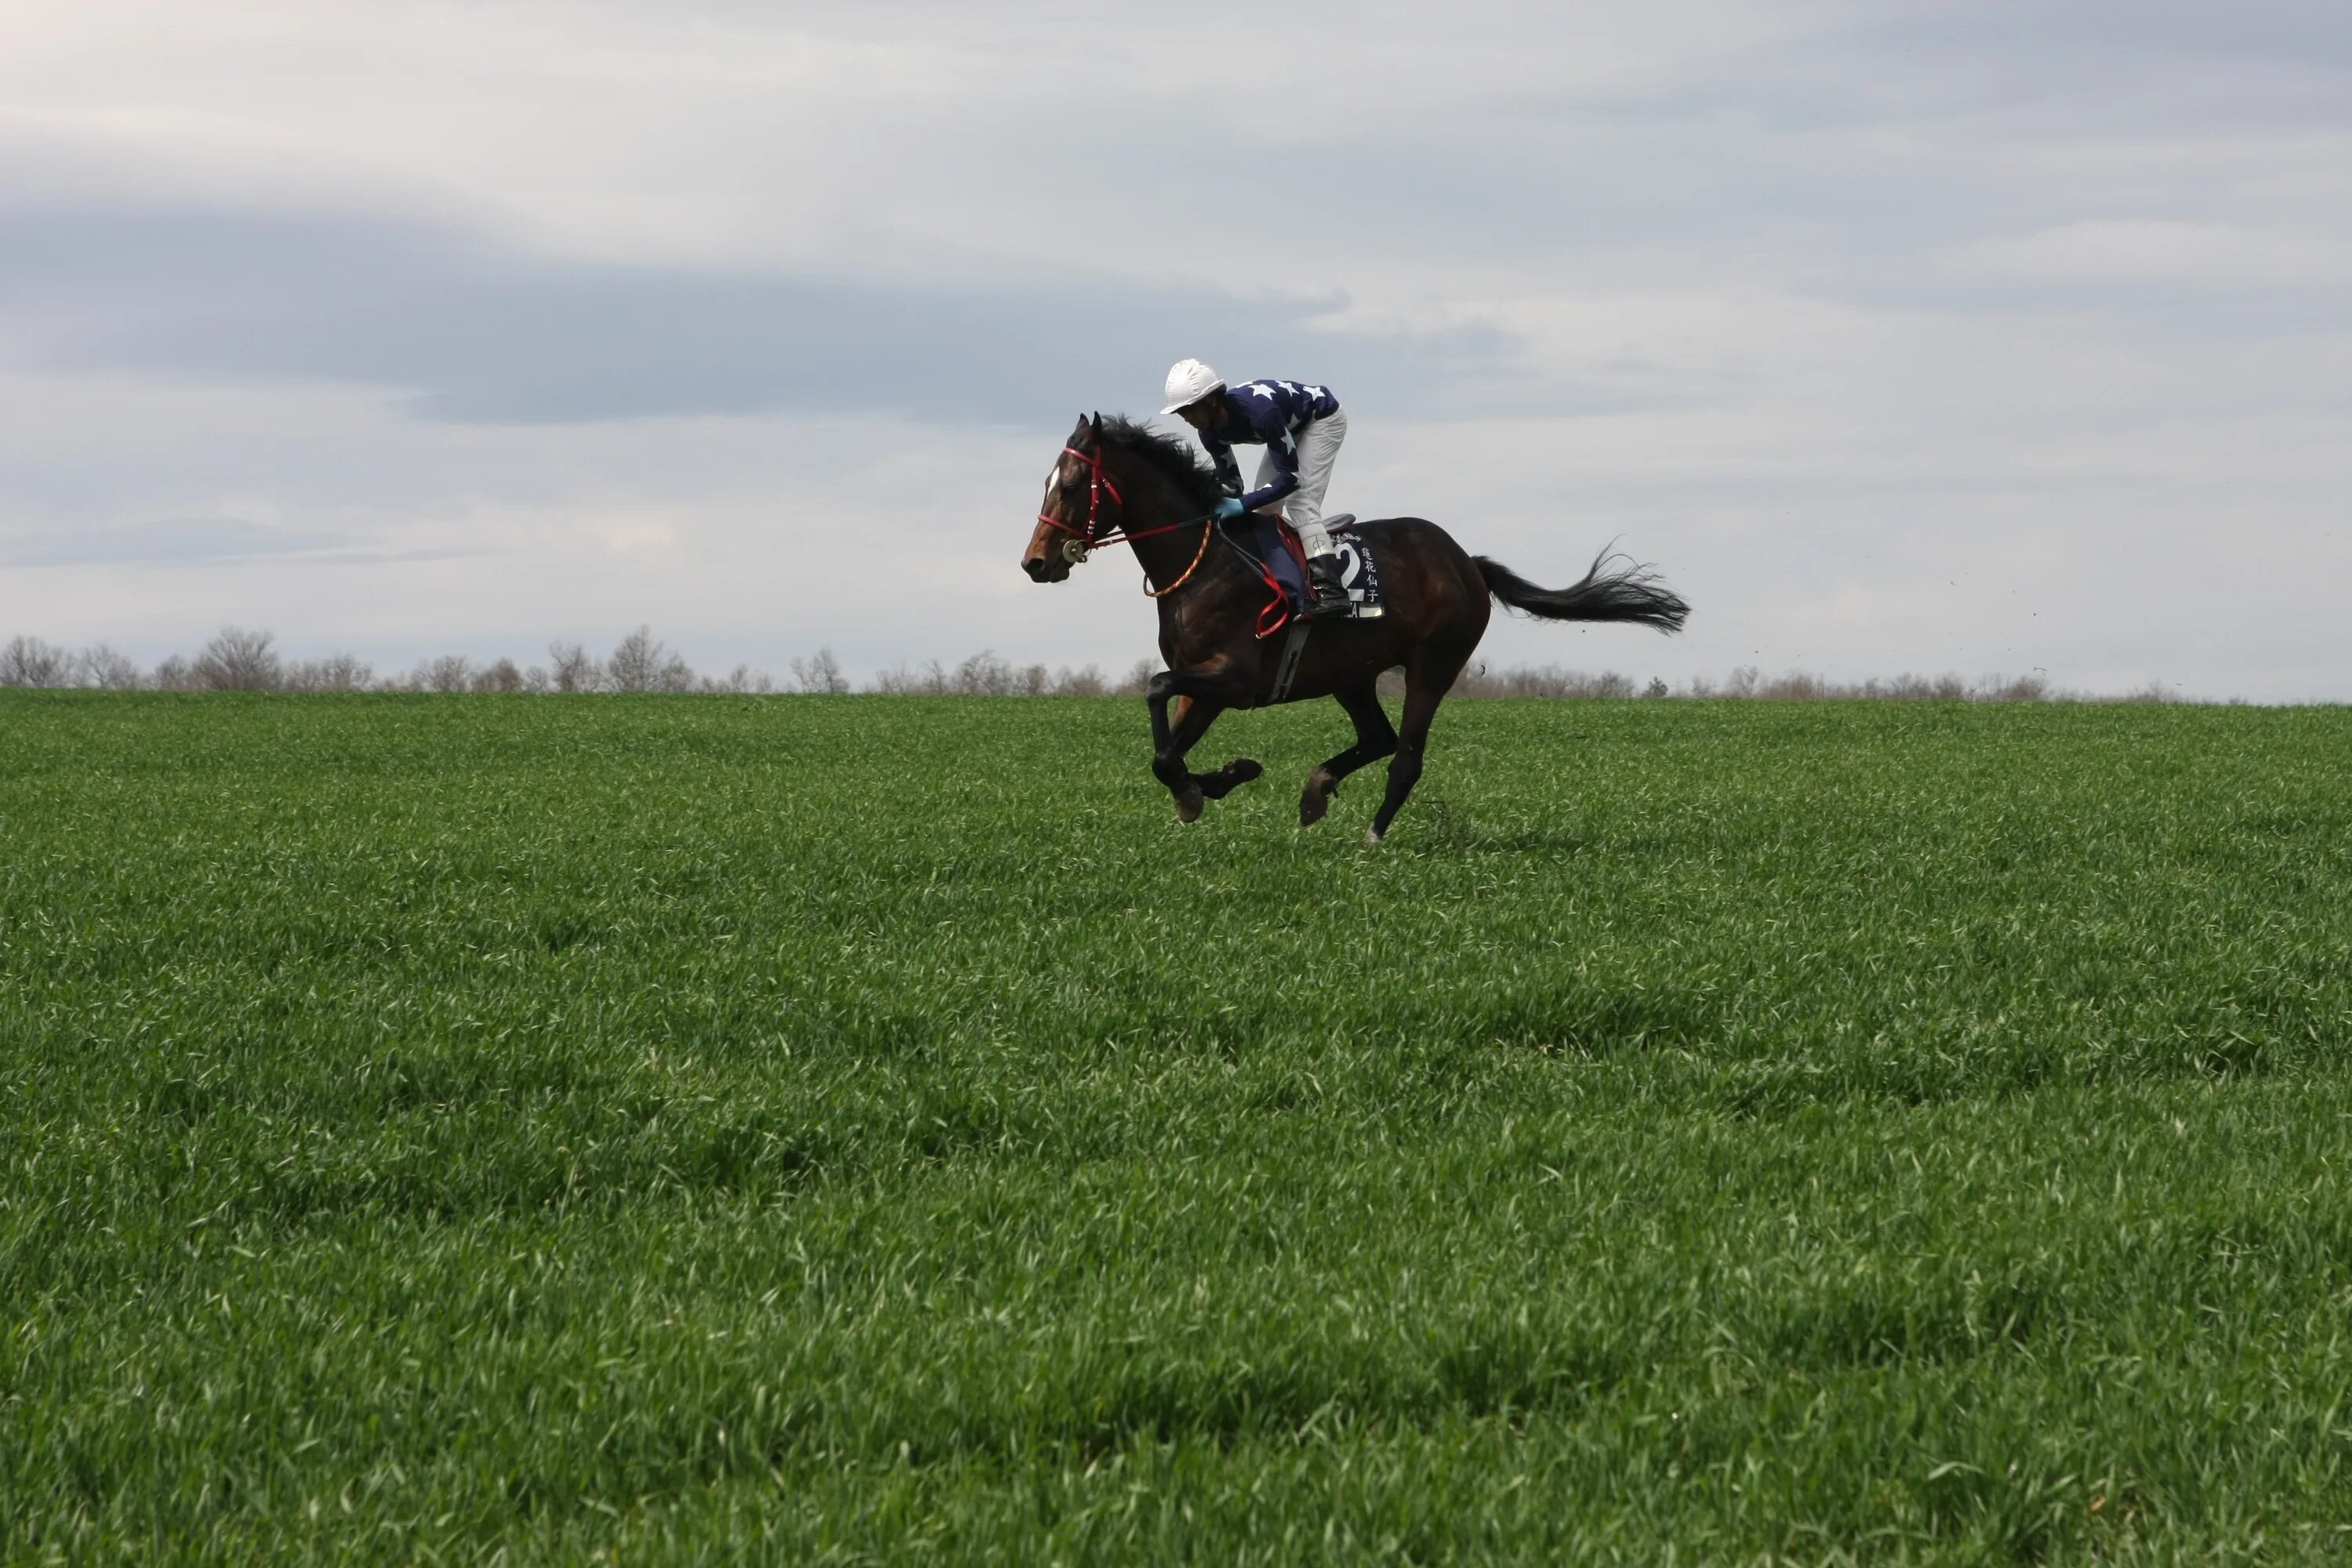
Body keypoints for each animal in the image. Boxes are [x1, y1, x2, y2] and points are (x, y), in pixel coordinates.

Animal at [1021, 411, 1684, 841]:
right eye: (1046, 483)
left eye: (1073, 486)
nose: (1035, 563)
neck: (1206, 561)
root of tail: (1466, 561)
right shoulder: (1205, 683)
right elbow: (1168, 750)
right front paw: (1222, 779)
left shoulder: (1236, 680)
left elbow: (1157, 694)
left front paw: (1204, 787)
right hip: (1352, 674)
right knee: (1378, 738)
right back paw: (1317, 790)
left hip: (1433, 666)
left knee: (1406, 757)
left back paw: (1373, 838)